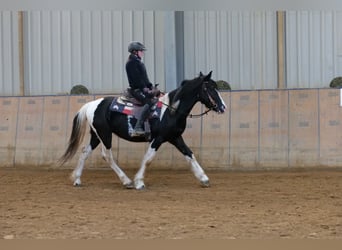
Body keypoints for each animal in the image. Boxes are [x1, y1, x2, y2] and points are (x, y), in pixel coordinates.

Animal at [57, 70, 226, 189]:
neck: (171, 110)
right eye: (209, 88)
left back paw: (77, 179)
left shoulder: (175, 137)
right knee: (107, 156)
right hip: (105, 135)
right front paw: (139, 181)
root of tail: (91, 105)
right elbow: (149, 158)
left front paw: (204, 178)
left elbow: (189, 154)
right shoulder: (158, 138)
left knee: (85, 152)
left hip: (96, 136)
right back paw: (126, 181)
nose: (223, 107)